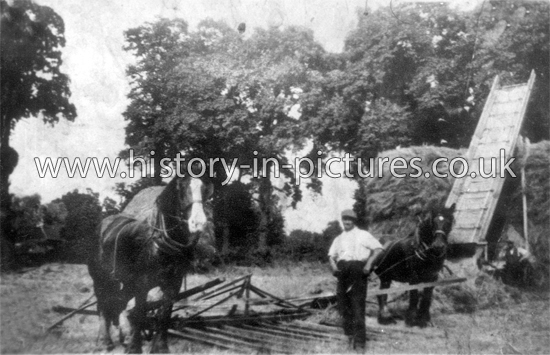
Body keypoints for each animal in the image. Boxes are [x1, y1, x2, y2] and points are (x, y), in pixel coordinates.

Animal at [88, 175, 213, 354]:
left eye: (204, 189)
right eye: (182, 189)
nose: (199, 223)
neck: (159, 243)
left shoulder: (173, 285)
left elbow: (164, 315)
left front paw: (159, 347)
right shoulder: (141, 285)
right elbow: (139, 312)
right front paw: (134, 347)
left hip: (124, 283)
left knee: (118, 304)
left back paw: (121, 338)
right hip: (100, 280)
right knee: (103, 305)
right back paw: (104, 342)